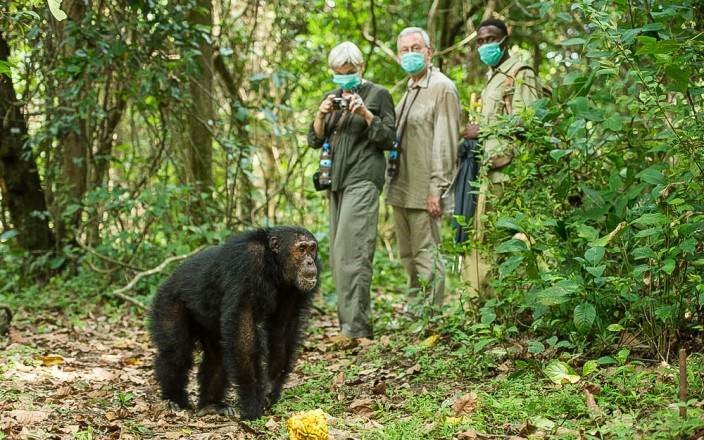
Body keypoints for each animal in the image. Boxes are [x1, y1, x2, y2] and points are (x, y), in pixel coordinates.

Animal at [149, 226, 320, 420]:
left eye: (312, 248)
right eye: (301, 249)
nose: (310, 262)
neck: (274, 263)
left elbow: (282, 329)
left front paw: (270, 388)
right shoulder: (248, 263)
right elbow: (243, 330)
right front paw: (253, 401)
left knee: (217, 357)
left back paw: (211, 404)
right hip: (167, 302)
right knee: (176, 353)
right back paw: (174, 399)